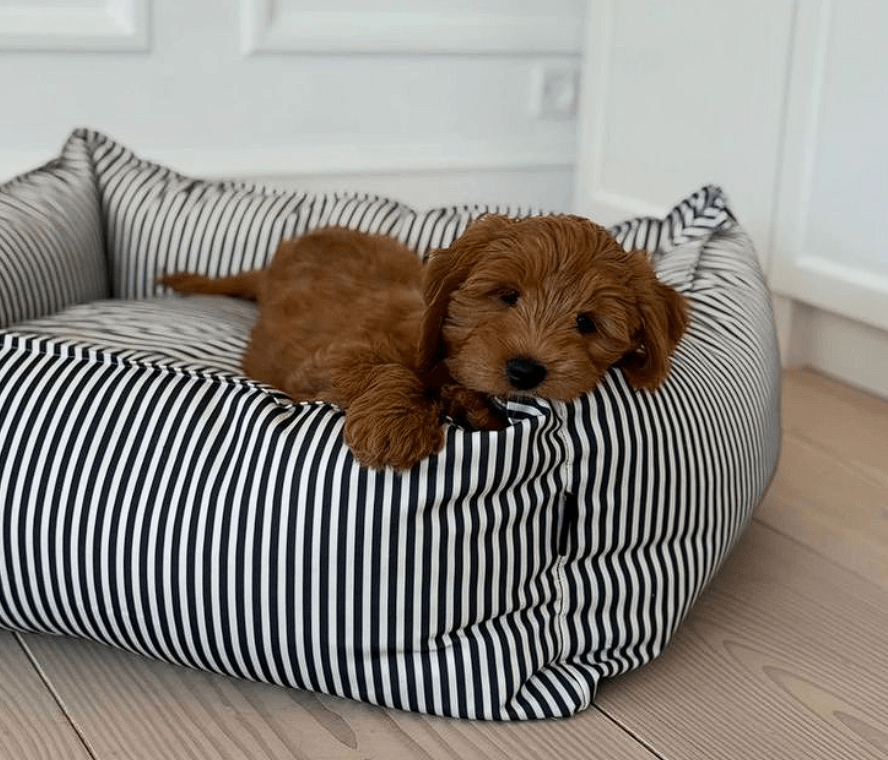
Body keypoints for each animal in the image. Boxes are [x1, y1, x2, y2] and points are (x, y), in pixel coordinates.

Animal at [160, 214, 689, 470]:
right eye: (507, 296)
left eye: (587, 323)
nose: (525, 371)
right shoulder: (326, 361)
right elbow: (387, 369)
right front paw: (394, 427)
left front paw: (470, 406)